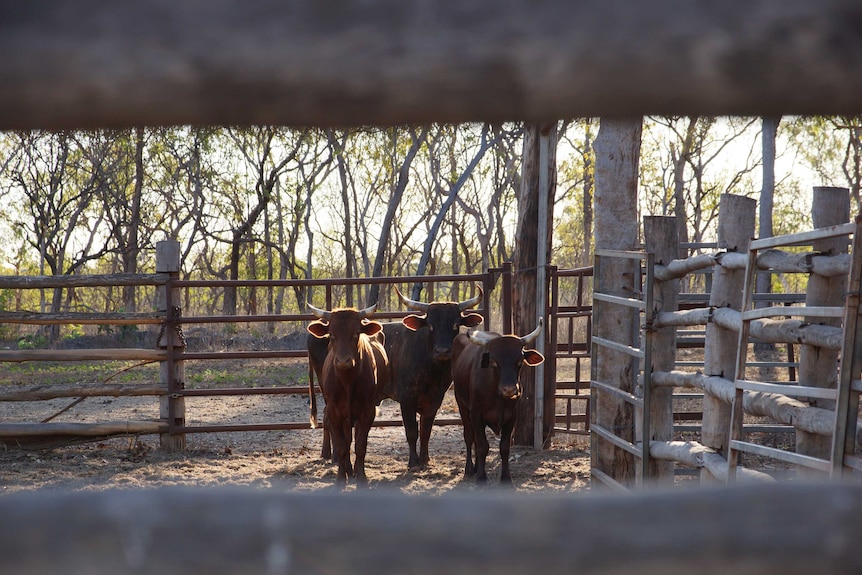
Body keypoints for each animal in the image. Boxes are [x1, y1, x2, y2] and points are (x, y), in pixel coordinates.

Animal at [304, 302, 384, 486]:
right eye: (332, 335)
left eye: (356, 334)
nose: (343, 361)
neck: (347, 381)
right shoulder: (334, 411)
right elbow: (341, 445)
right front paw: (341, 478)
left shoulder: (367, 411)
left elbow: (360, 445)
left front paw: (361, 477)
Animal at [452, 320, 548, 486]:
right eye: (494, 362)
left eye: (519, 362)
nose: (509, 389)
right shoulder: (476, 414)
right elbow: (482, 445)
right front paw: (481, 478)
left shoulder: (511, 417)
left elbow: (504, 447)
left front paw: (506, 478)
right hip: (462, 405)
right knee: (470, 437)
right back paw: (470, 469)